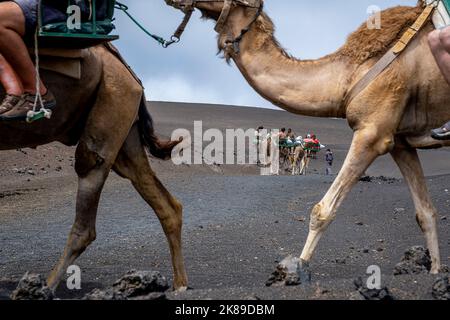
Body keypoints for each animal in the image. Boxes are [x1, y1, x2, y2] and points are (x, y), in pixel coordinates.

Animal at [0, 44, 187, 292]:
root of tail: (131, 75)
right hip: (124, 133)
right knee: (166, 204)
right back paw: (180, 285)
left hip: (109, 111)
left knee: (86, 212)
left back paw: (45, 288)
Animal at [166, 1, 450, 278]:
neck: (350, 75)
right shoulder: (400, 142)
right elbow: (426, 213)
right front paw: (435, 271)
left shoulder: (373, 132)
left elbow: (323, 211)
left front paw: (298, 269)